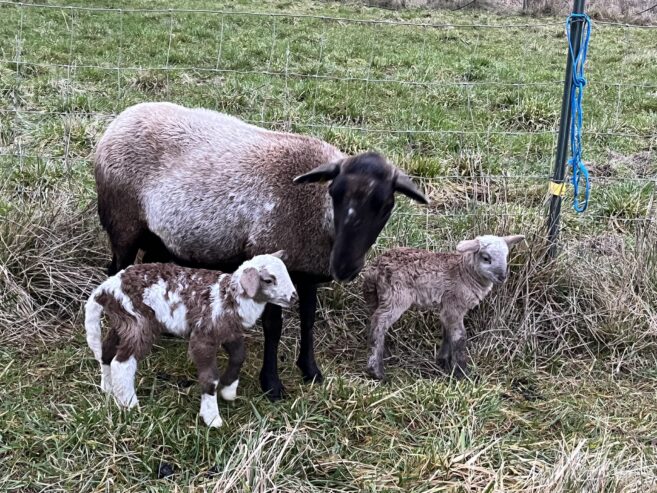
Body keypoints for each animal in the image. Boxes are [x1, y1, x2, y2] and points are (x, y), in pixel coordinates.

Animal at [84, 252, 294, 424]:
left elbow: (239, 356)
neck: (229, 296)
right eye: (268, 280)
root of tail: (105, 288)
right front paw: (211, 417)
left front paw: (229, 390)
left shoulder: (228, 332)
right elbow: (210, 378)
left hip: (123, 321)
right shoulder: (203, 337)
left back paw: (108, 388)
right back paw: (130, 404)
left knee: (107, 351)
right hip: (138, 321)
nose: (293, 296)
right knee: (122, 363)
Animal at [95, 101, 428, 400]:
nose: (344, 267)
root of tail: (121, 119)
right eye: (334, 192)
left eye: (386, 205)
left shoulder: (307, 271)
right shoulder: (270, 259)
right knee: (116, 272)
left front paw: (310, 370)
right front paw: (271, 385)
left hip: (156, 238)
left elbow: (308, 320)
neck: (316, 213)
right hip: (123, 223)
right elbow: (273, 327)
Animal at [362, 234, 524, 380]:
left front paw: (443, 361)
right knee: (380, 322)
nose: (502, 277)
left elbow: (447, 333)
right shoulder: (454, 305)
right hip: (396, 296)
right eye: (486, 258)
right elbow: (459, 337)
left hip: (375, 296)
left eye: (506, 256)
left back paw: (384, 353)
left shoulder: (447, 307)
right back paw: (376, 370)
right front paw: (461, 372)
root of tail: (375, 267)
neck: (465, 272)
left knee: (374, 321)